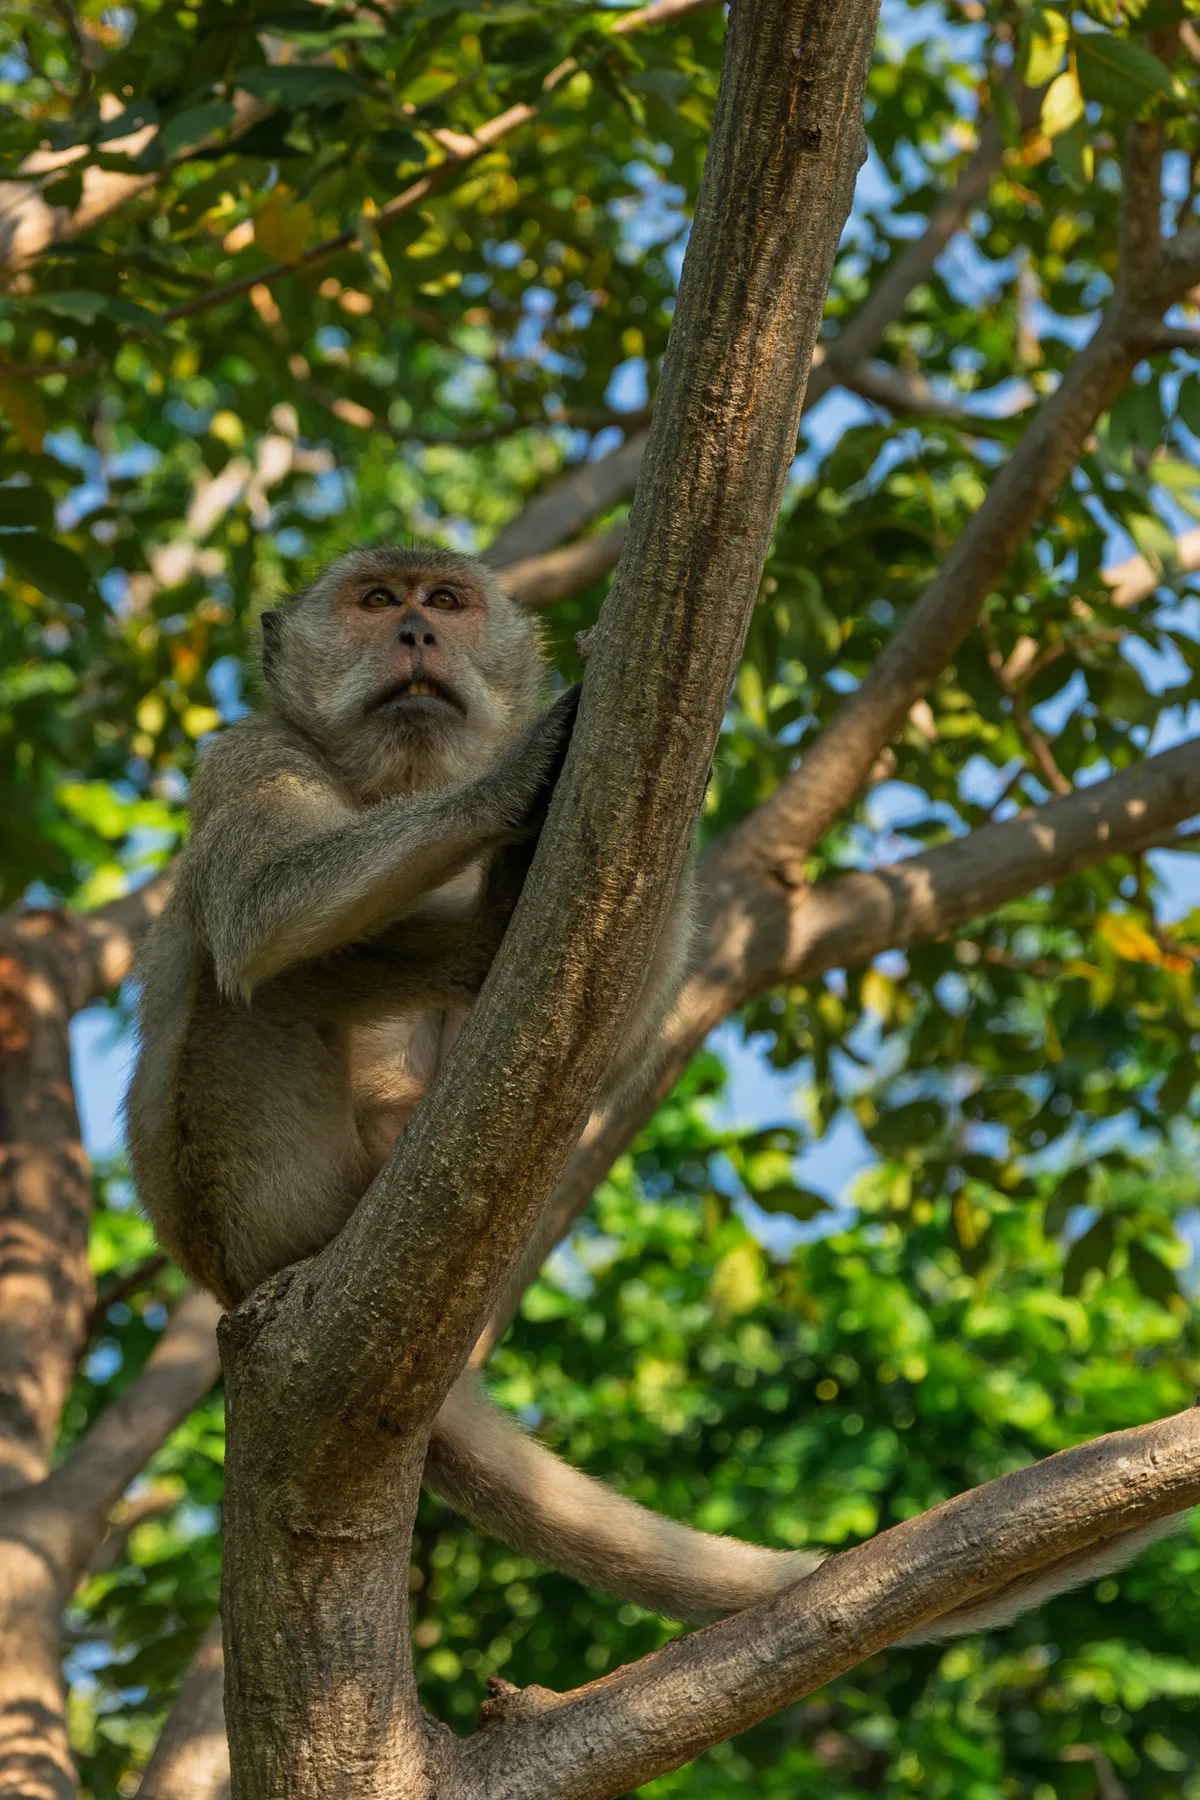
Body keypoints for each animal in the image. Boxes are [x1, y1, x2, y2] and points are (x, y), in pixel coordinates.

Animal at [126, 542, 1182, 1637]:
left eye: (446, 603)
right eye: (376, 601)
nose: (415, 631)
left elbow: (592, 1017)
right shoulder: (248, 752)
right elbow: (258, 909)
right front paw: (522, 769)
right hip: (259, 1189)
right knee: (251, 978)